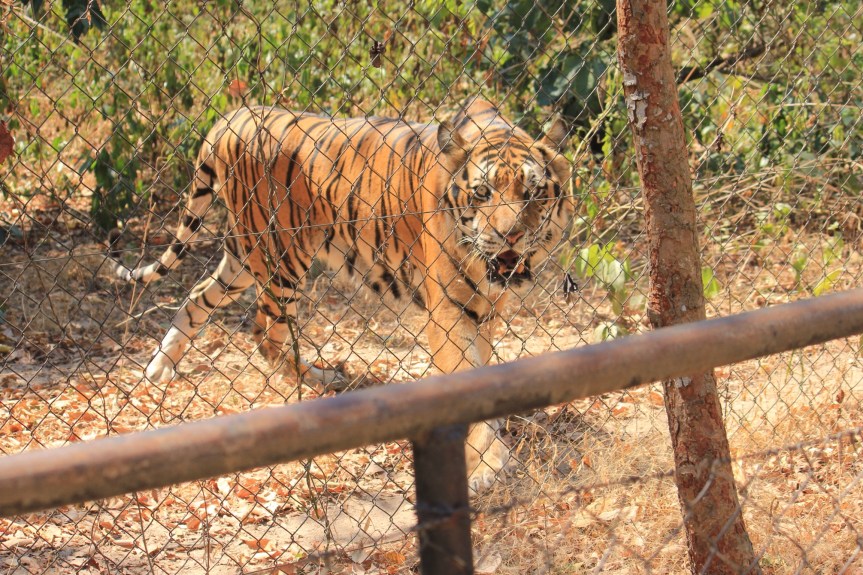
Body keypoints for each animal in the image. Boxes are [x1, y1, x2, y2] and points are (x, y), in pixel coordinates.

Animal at [111, 98, 573, 491]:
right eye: (482, 193)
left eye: (533, 192)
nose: (510, 236)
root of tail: (233, 116)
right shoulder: (449, 309)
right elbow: (465, 378)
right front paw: (487, 465)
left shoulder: (484, 309)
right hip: (280, 257)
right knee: (266, 332)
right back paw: (318, 383)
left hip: (244, 257)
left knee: (199, 296)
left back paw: (159, 368)